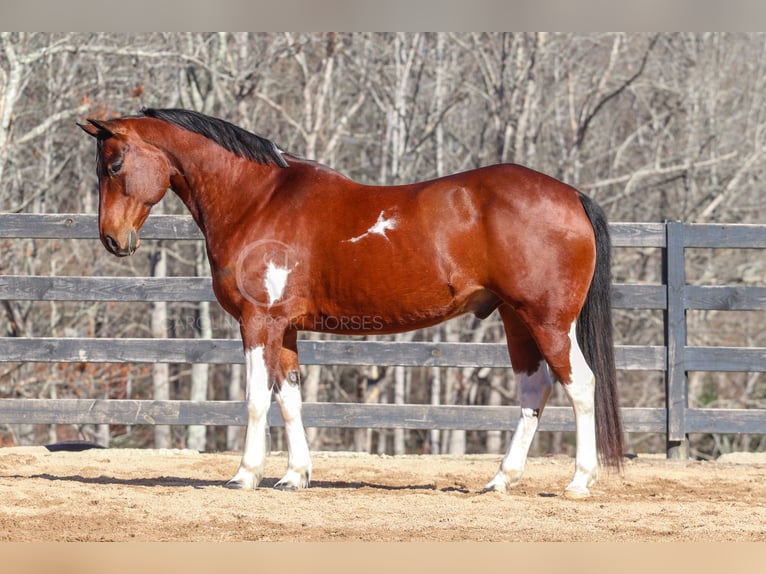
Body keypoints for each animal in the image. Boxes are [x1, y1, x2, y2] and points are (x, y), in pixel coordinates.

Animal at [81, 109, 624, 500]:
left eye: (114, 166)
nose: (112, 239)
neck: (257, 200)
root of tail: (572, 196)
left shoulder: (260, 322)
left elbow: (257, 399)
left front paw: (245, 475)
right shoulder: (286, 327)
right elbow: (289, 398)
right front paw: (294, 476)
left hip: (548, 320)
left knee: (580, 386)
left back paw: (579, 482)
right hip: (516, 320)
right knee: (534, 389)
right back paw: (500, 480)